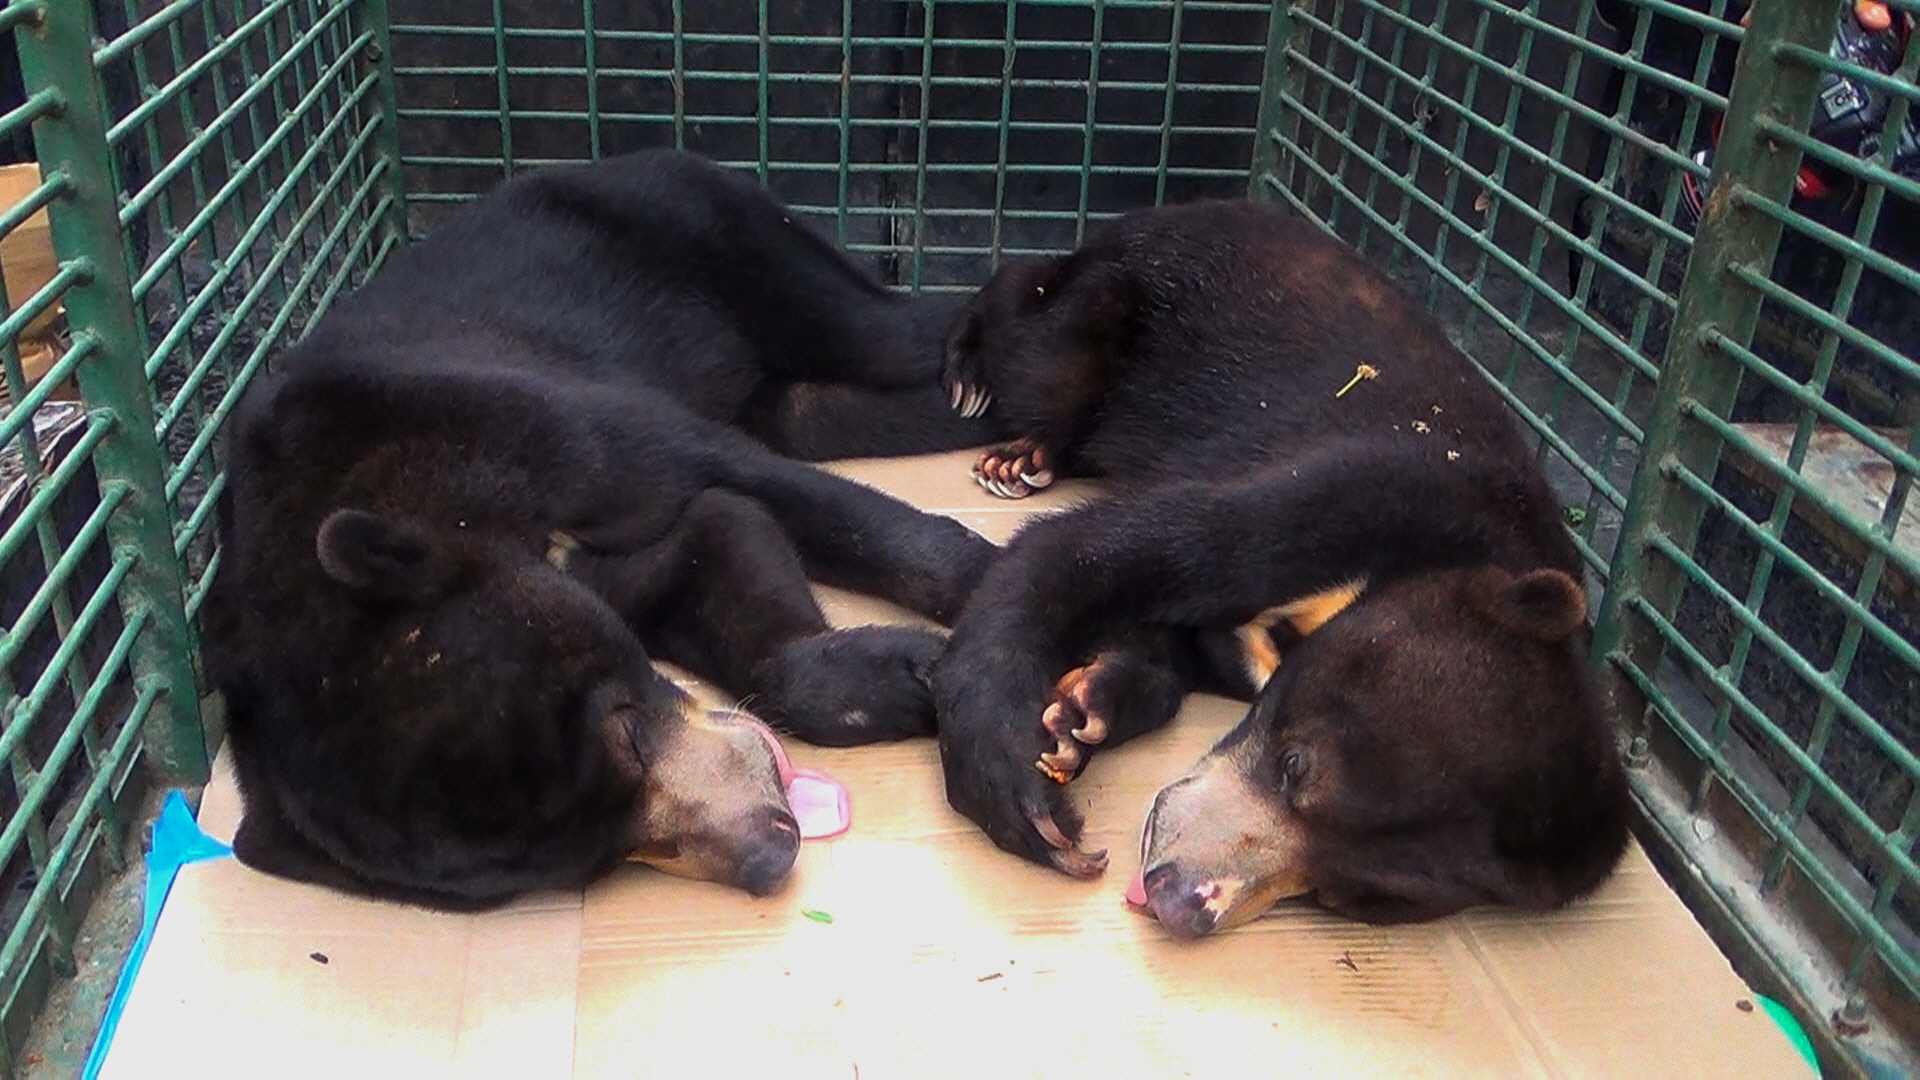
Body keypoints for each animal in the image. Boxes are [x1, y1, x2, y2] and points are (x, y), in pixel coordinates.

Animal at [202, 147, 998, 903]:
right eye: (587, 862)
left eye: (626, 729)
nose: (772, 849)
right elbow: (724, 533)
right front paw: (895, 677)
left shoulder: (520, 422)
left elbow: (734, 481)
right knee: (814, 408)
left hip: (724, 237)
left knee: (888, 333)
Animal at [929, 197, 1635, 930]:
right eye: (1295, 766)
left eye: (1349, 897)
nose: (1180, 900)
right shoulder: (1357, 494)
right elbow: (1091, 552)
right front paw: (1018, 786)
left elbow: (1173, 649)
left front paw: (1081, 713)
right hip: (1111, 308)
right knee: (1034, 334)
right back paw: (980, 383)